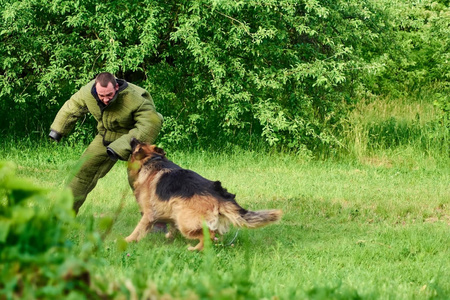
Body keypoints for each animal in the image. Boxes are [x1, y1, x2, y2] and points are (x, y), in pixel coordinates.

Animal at [125, 139, 284, 251]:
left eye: (137, 144)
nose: (132, 137)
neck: (151, 160)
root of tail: (219, 195)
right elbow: (171, 228)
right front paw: (169, 237)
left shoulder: (149, 214)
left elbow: (138, 230)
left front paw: (127, 240)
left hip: (186, 222)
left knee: (208, 235)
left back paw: (194, 249)